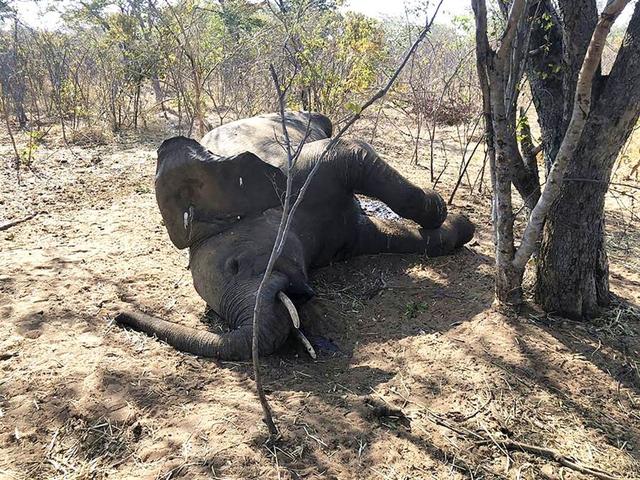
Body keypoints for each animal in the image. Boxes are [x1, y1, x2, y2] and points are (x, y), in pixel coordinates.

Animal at [115, 112, 475, 360]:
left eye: (235, 265)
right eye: (213, 313)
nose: (119, 316)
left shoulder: (295, 175)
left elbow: (351, 151)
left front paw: (443, 212)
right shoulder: (347, 238)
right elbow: (388, 237)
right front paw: (460, 225)